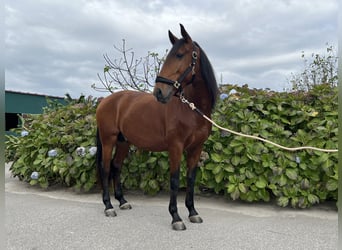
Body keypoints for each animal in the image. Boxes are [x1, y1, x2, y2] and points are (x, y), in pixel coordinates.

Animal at [96, 23, 218, 230]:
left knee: (116, 167)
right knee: (105, 169)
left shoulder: (196, 148)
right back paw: (108, 206)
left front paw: (193, 212)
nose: (159, 92)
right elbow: (174, 180)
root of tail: (105, 101)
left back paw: (122, 201)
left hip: (123, 142)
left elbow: (191, 179)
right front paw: (176, 217)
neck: (191, 109)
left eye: (180, 55)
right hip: (108, 140)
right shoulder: (175, 146)